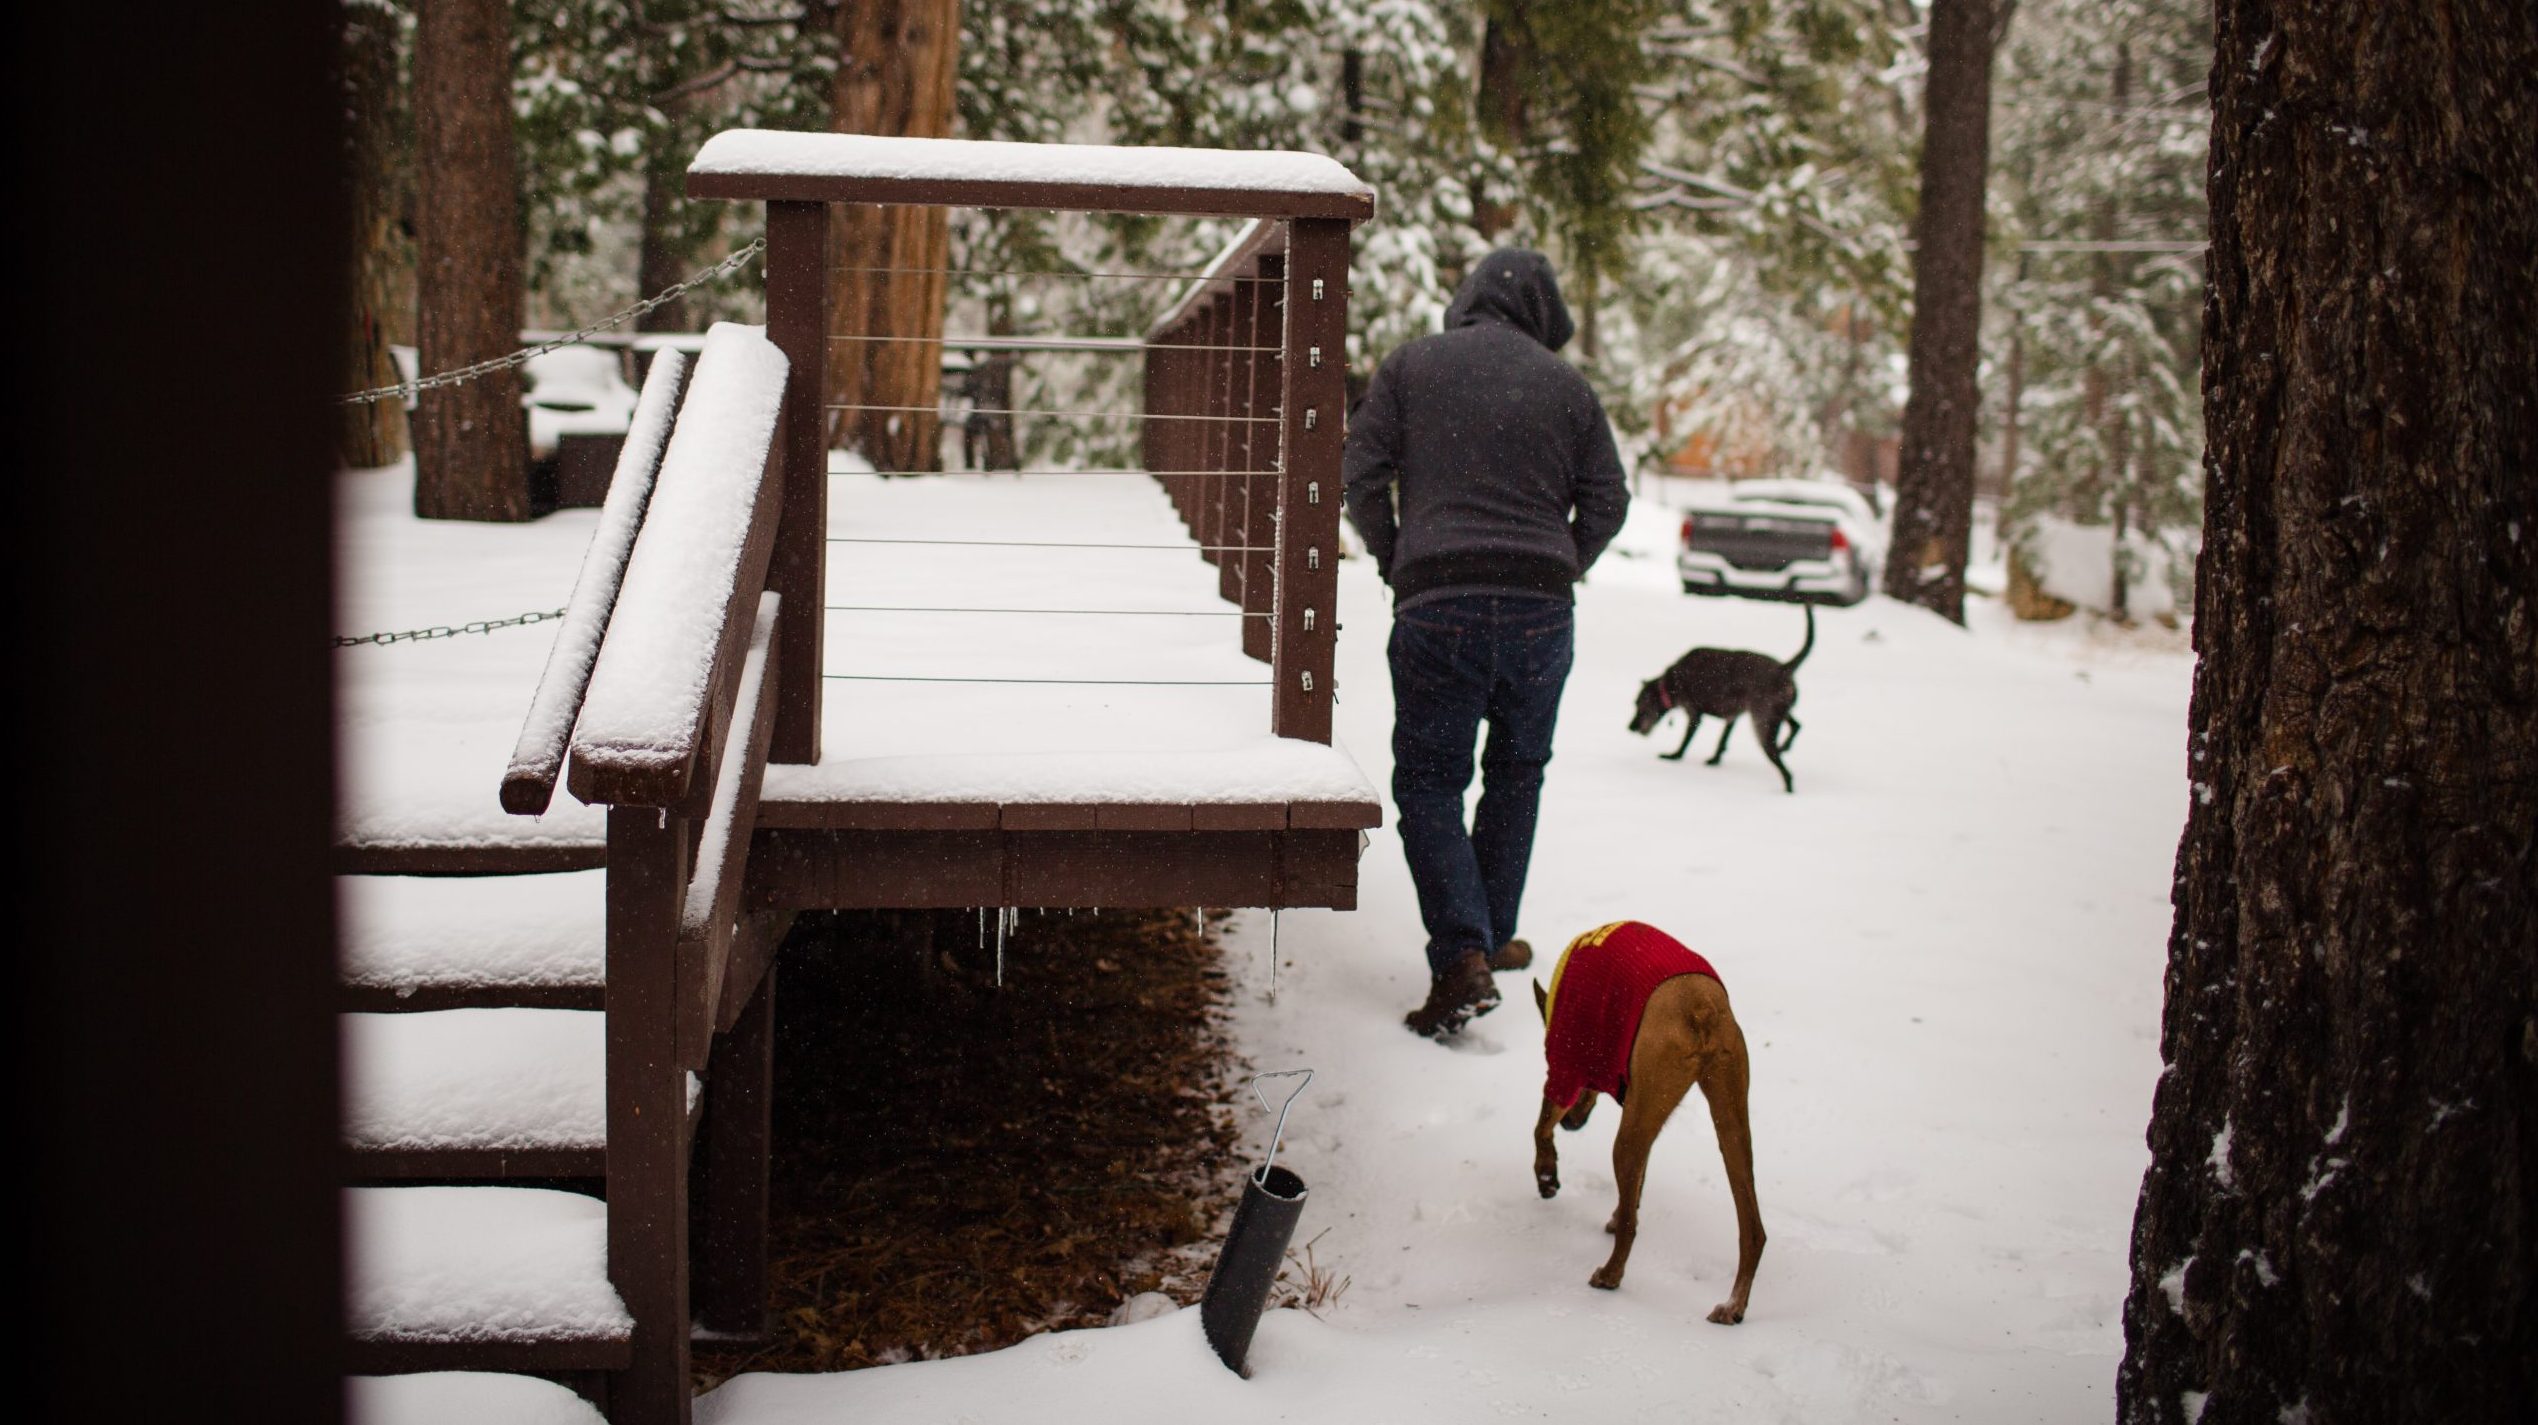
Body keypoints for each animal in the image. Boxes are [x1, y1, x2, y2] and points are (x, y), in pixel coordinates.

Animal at [1522, 914, 1766, 1320]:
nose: (1573, 1124)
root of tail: (1701, 1008)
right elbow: (1636, 1189)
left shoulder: (1566, 1059)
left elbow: (1540, 1128)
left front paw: (1547, 1176)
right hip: (1729, 1122)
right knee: (1753, 1229)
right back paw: (1734, 1306)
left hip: (1629, 1134)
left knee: (1631, 1228)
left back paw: (1610, 1275)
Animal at [1634, 604, 1817, 792]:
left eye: (1639, 706)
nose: (1630, 727)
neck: (1671, 682)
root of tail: (1784, 669)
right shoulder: (1732, 716)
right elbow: (1722, 741)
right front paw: (1715, 760)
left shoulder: (1694, 714)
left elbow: (1685, 742)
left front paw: (1674, 756)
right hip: (1780, 712)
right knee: (1796, 726)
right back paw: (1784, 747)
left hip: (1763, 722)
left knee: (1786, 768)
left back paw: (1787, 787)